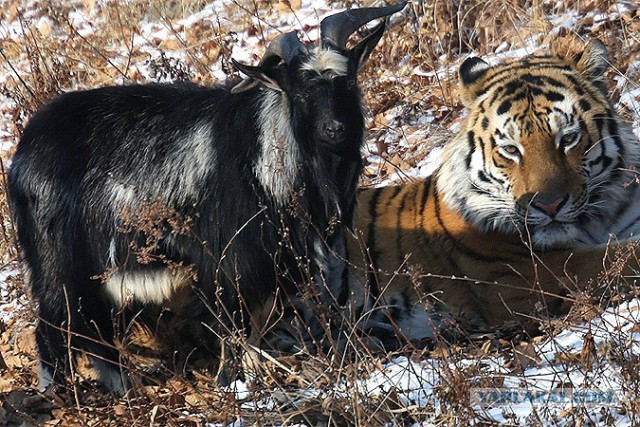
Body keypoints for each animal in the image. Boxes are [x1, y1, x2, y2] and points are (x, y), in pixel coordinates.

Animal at [7, 1, 408, 394]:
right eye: (300, 93)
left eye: (348, 81)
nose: (335, 130)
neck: (265, 150)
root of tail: (24, 152)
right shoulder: (228, 261)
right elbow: (235, 328)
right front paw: (233, 384)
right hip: (59, 265)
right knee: (54, 331)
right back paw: (62, 396)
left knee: (96, 334)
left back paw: (126, 389)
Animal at [342, 36, 640, 344]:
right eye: (511, 149)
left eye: (568, 138)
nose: (549, 205)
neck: (597, 223)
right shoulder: (526, 276)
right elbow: (618, 258)